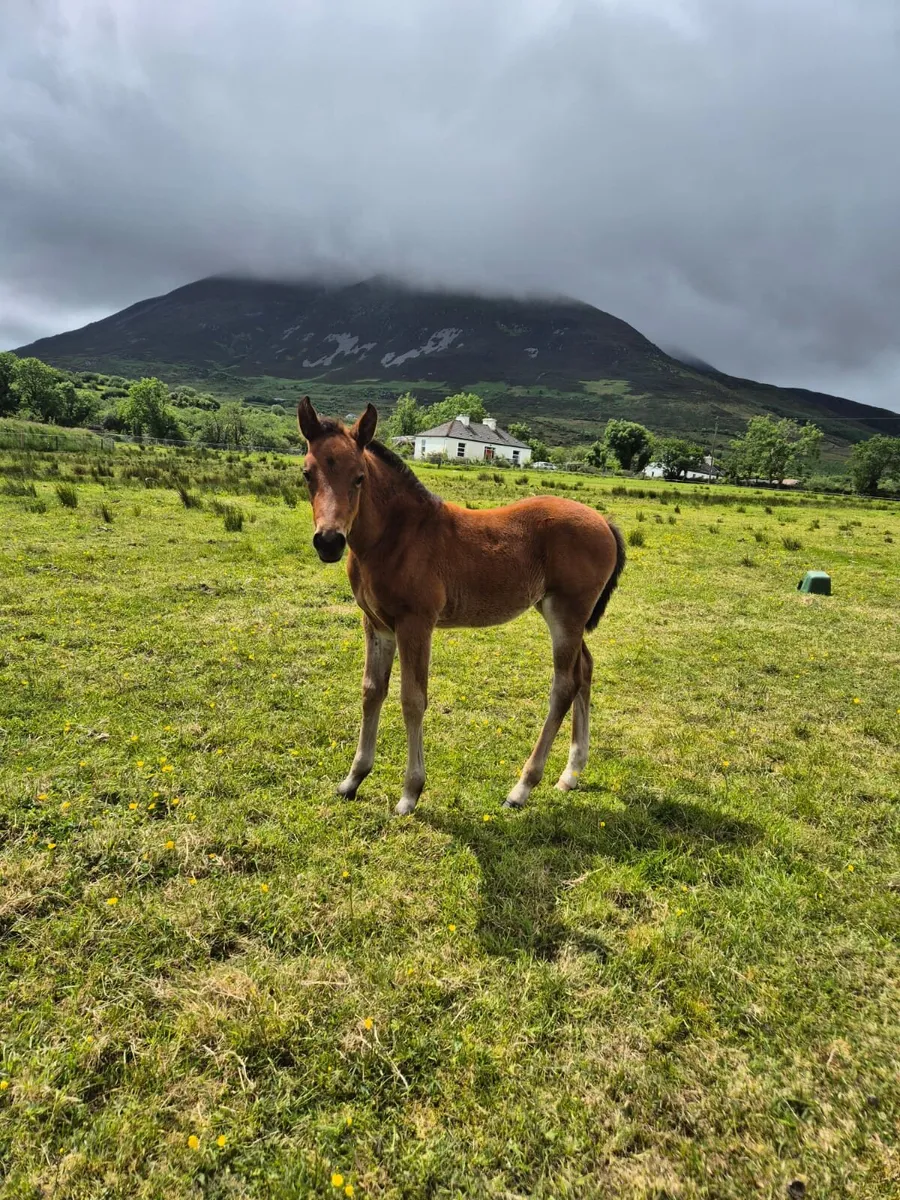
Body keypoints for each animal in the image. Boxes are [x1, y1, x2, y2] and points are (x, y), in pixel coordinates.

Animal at [298, 397, 626, 815]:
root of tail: (604, 521)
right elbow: (372, 691)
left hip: (566, 614)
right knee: (585, 670)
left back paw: (522, 788)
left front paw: (410, 793)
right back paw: (570, 774)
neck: (396, 537)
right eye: (307, 473)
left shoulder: (416, 623)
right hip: (564, 614)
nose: (329, 541)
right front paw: (353, 779)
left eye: (359, 477)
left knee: (564, 686)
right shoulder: (376, 624)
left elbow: (412, 698)